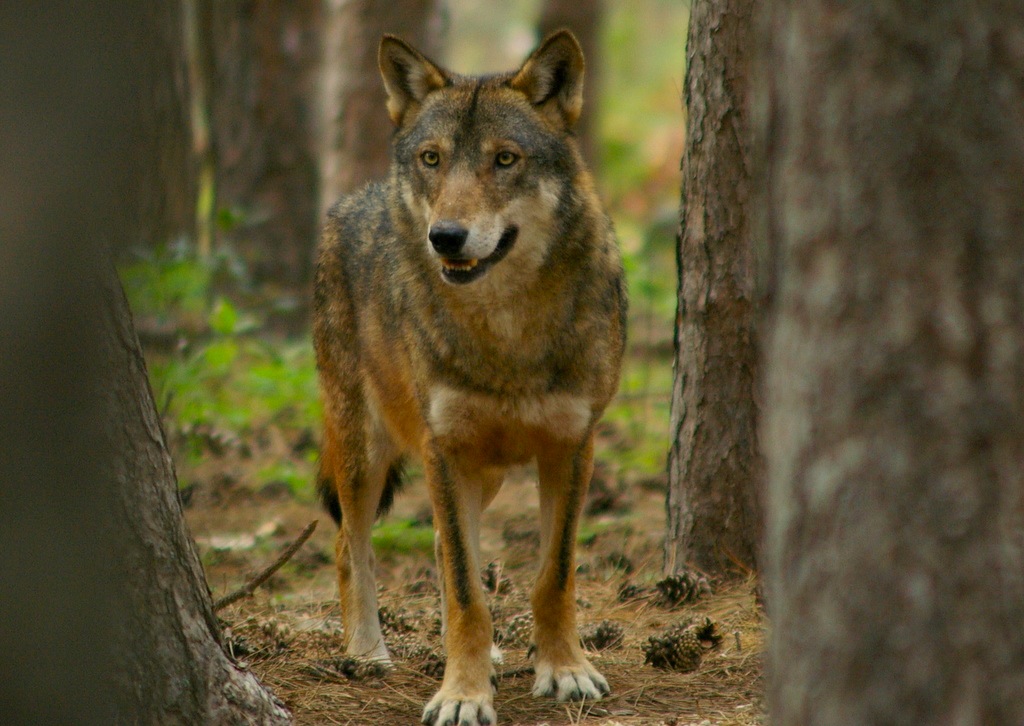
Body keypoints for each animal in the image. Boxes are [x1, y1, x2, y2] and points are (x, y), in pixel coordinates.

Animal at [313, 29, 626, 726]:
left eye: (505, 160)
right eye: (432, 159)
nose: (446, 237)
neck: (505, 330)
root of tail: (351, 200)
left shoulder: (573, 445)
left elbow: (552, 576)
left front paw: (564, 670)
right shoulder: (443, 449)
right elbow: (464, 590)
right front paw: (462, 694)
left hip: (481, 475)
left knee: (434, 541)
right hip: (365, 452)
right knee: (350, 546)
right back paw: (367, 654)